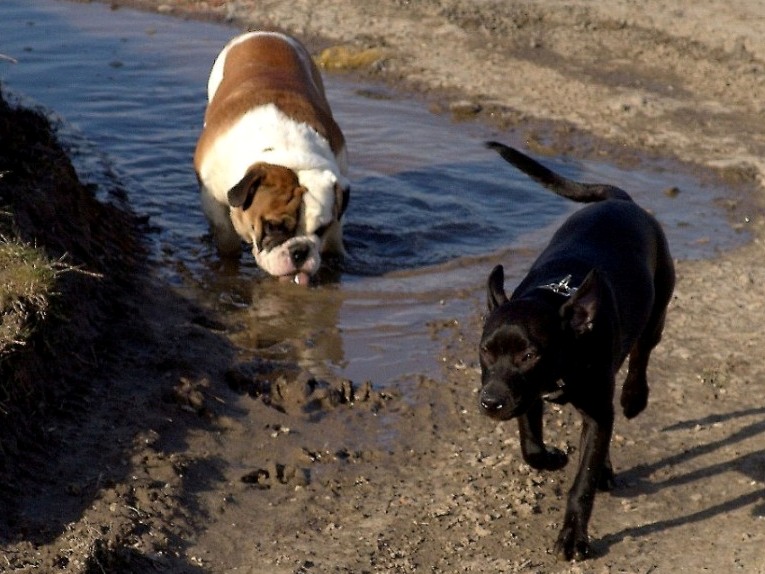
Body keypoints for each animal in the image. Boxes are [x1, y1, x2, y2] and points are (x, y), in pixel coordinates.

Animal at [478, 143, 676, 564]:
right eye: (486, 351)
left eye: (529, 356)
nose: (490, 403)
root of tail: (621, 201)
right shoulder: (527, 396)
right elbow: (530, 446)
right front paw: (553, 458)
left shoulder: (594, 411)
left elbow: (581, 482)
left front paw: (573, 537)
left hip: (657, 310)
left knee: (641, 356)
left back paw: (634, 398)